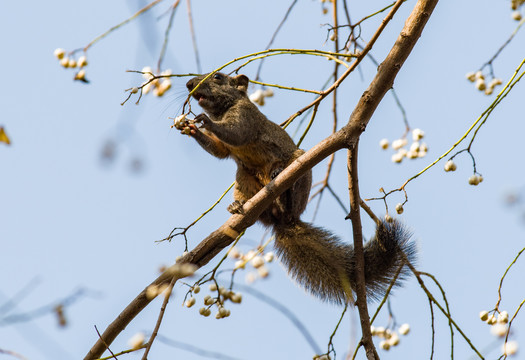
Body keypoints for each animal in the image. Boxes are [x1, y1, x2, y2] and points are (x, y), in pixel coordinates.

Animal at [183, 71, 414, 302]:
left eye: (218, 77)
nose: (189, 84)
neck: (221, 112)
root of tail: (285, 220)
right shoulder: (226, 145)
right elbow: (220, 149)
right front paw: (192, 129)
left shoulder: (247, 117)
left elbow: (236, 134)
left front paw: (203, 121)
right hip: (243, 176)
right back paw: (237, 205)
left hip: (298, 170)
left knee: (289, 194)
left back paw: (281, 188)